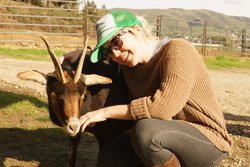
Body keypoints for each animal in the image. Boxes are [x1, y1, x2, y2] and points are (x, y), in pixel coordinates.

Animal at [17, 36, 135, 167]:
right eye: (53, 95)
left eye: (83, 95)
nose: (73, 126)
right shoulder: (74, 136)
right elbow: (72, 158)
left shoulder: (106, 134)